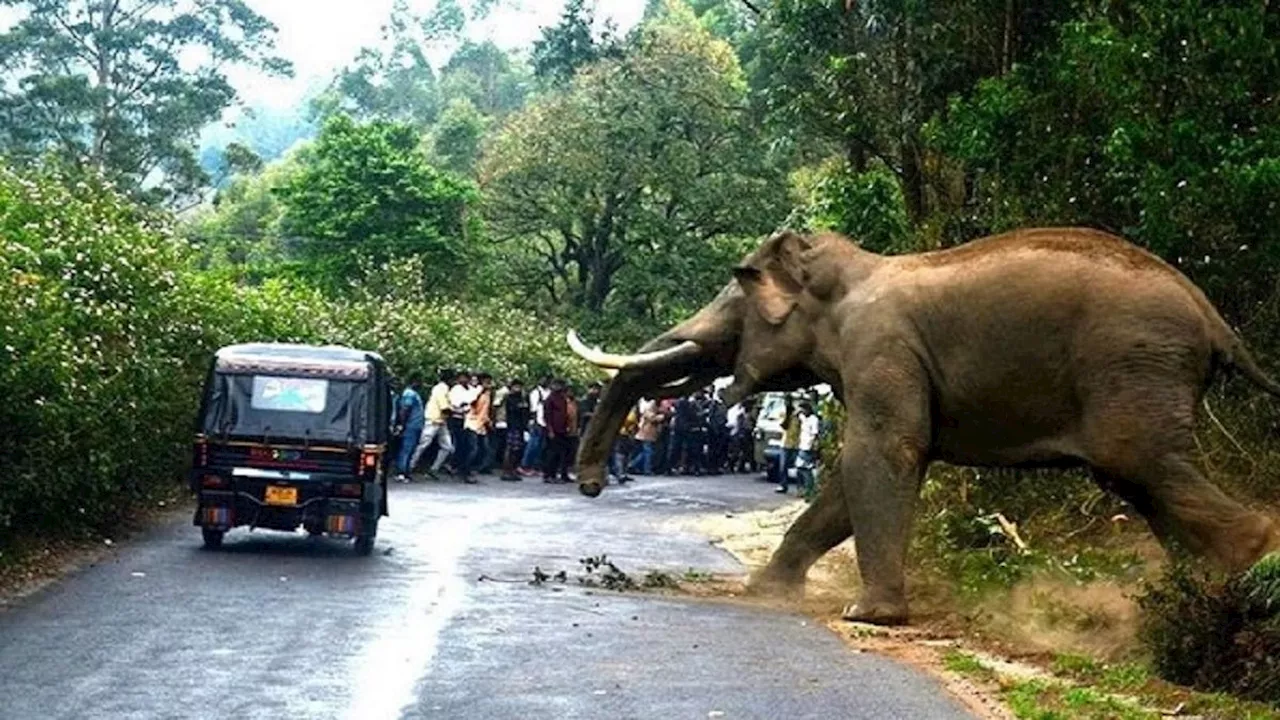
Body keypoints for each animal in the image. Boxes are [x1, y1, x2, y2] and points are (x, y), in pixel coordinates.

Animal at [570, 225, 1280, 622]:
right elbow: (846, 484)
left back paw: (1245, 564)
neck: (851, 268)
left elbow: (881, 455)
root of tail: (1214, 318)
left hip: (1133, 366)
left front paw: (868, 615)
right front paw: (764, 590)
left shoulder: (881, 348)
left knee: (1144, 466)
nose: (591, 486)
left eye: (735, 297)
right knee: (1142, 480)